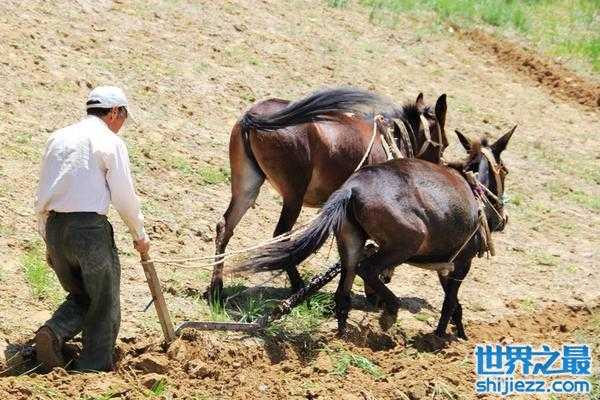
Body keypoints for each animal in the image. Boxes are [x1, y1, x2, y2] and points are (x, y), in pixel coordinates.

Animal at [209, 88, 449, 302]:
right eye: (445, 144)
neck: (388, 141)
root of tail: (256, 116)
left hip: (247, 187)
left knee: (225, 227)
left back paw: (216, 289)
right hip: (293, 196)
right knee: (282, 236)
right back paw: (298, 287)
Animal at [237, 125, 516, 339]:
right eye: (505, 171)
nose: (503, 220)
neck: (474, 190)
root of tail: (351, 189)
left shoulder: (445, 265)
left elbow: (453, 301)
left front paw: (460, 334)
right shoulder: (462, 263)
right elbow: (449, 303)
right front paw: (439, 338)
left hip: (351, 242)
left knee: (344, 293)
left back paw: (342, 338)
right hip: (403, 245)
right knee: (367, 269)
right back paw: (390, 311)